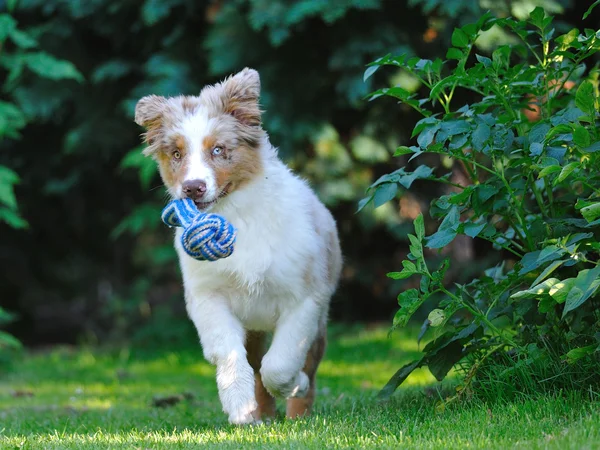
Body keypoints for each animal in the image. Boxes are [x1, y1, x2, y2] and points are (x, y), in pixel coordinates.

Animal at [135, 68, 342, 424]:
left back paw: (298, 412)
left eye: (218, 150)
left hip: (318, 323)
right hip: (254, 326)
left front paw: (294, 384)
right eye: (176, 154)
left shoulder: (305, 298)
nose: (192, 188)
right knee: (256, 365)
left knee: (304, 366)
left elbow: (280, 363)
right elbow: (231, 356)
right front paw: (240, 408)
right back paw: (263, 413)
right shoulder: (208, 297)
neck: (236, 214)